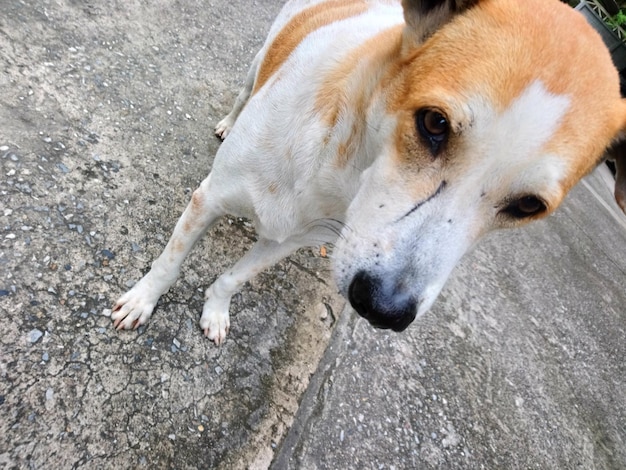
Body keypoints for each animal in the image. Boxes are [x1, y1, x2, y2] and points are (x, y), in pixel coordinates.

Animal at [109, 0, 624, 346]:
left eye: (529, 205)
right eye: (434, 123)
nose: (383, 310)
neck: (336, 165)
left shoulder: (287, 241)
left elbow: (235, 278)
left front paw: (216, 308)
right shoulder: (209, 199)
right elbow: (170, 262)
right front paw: (142, 301)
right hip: (260, 59)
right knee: (244, 88)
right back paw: (229, 119)